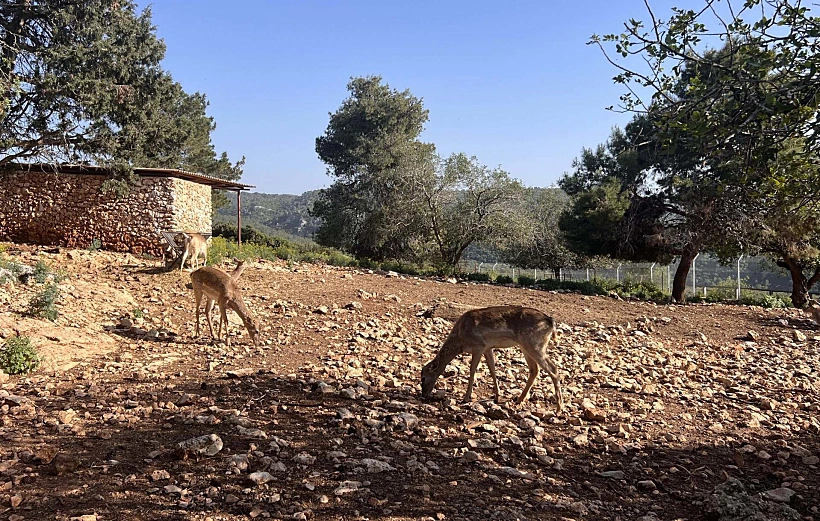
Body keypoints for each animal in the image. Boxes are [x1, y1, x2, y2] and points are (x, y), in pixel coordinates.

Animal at [422, 304, 564, 410]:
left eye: (424, 377)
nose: (423, 395)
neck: (460, 340)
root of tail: (551, 322)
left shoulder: (479, 345)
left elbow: (472, 371)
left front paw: (466, 398)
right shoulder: (488, 348)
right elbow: (492, 369)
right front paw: (496, 397)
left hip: (535, 346)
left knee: (553, 369)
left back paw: (559, 409)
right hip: (526, 347)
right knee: (534, 369)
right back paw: (519, 399)